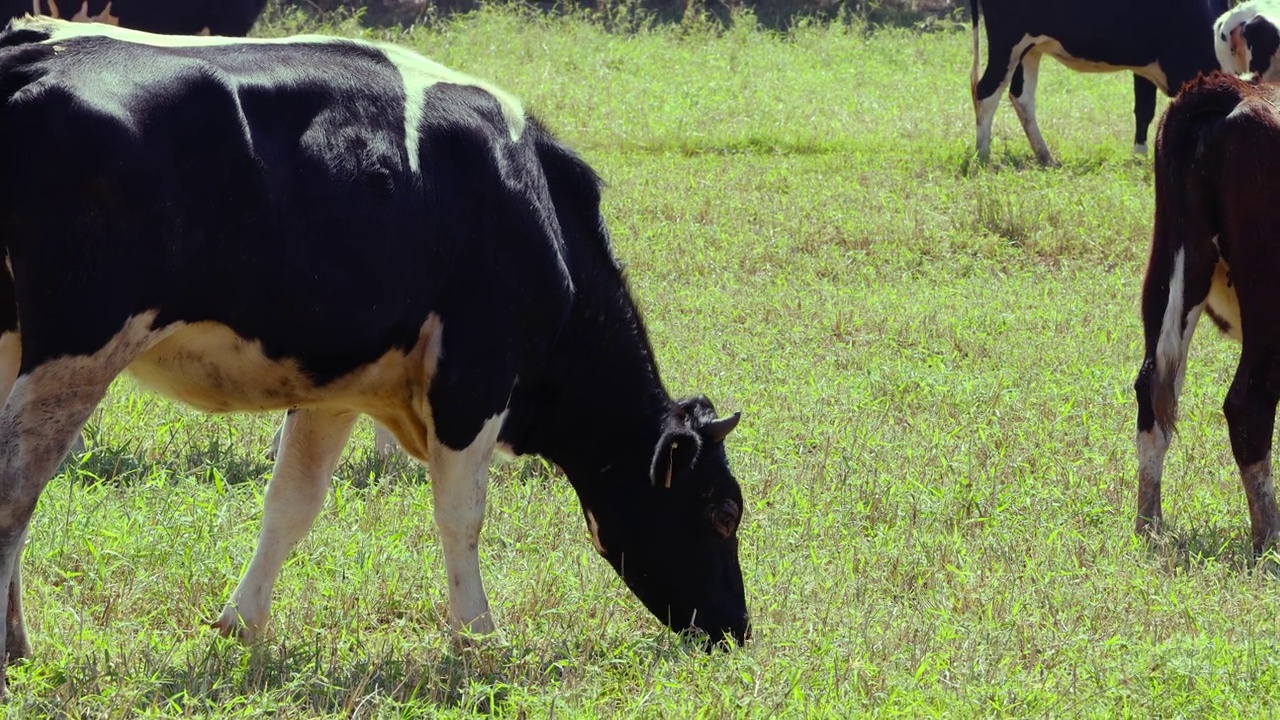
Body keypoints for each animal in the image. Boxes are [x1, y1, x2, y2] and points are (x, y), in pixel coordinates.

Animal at [0, 16, 747, 691]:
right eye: (724, 512)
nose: (737, 632)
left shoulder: (335, 385)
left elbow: (292, 503)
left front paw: (242, 626)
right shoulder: (475, 375)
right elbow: (461, 514)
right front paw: (478, 638)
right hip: (79, 343)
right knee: (17, 487)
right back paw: (13, 649)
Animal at [967, 0, 1228, 163]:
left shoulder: (1145, 67)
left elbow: (1145, 111)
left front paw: (1139, 156)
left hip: (1030, 49)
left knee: (1021, 97)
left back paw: (1046, 157)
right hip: (1007, 42)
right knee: (986, 91)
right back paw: (983, 155)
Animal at [1136, 73, 1280, 550]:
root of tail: (1234, 89)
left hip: (1173, 261)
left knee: (1152, 391)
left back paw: (1149, 525)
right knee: (1249, 403)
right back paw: (1269, 537)